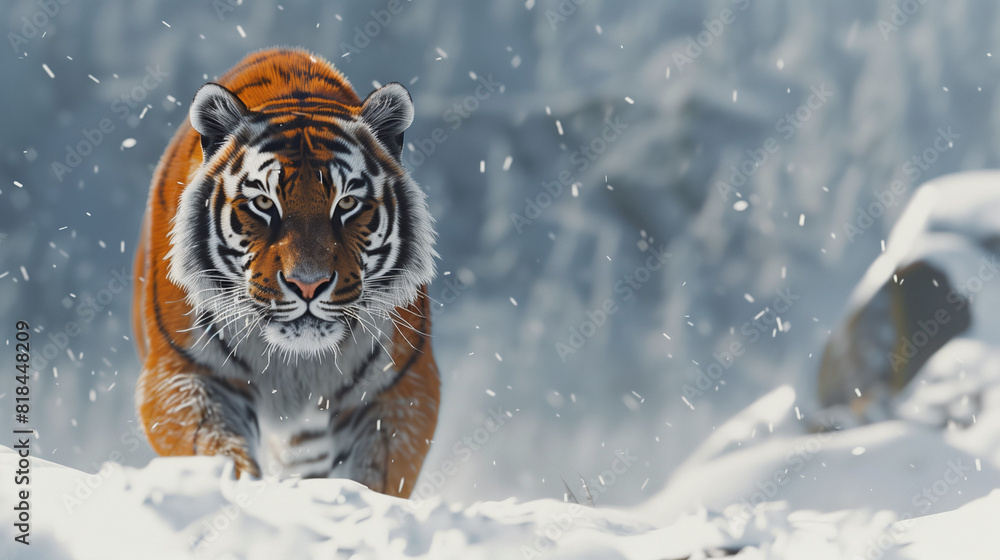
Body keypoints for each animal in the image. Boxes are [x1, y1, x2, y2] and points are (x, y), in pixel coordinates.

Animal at [131, 47, 439, 498]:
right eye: (264, 203)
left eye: (347, 204)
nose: (307, 284)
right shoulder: (181, 373)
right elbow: (216, 448)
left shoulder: (401, 385)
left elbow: (377, 471)